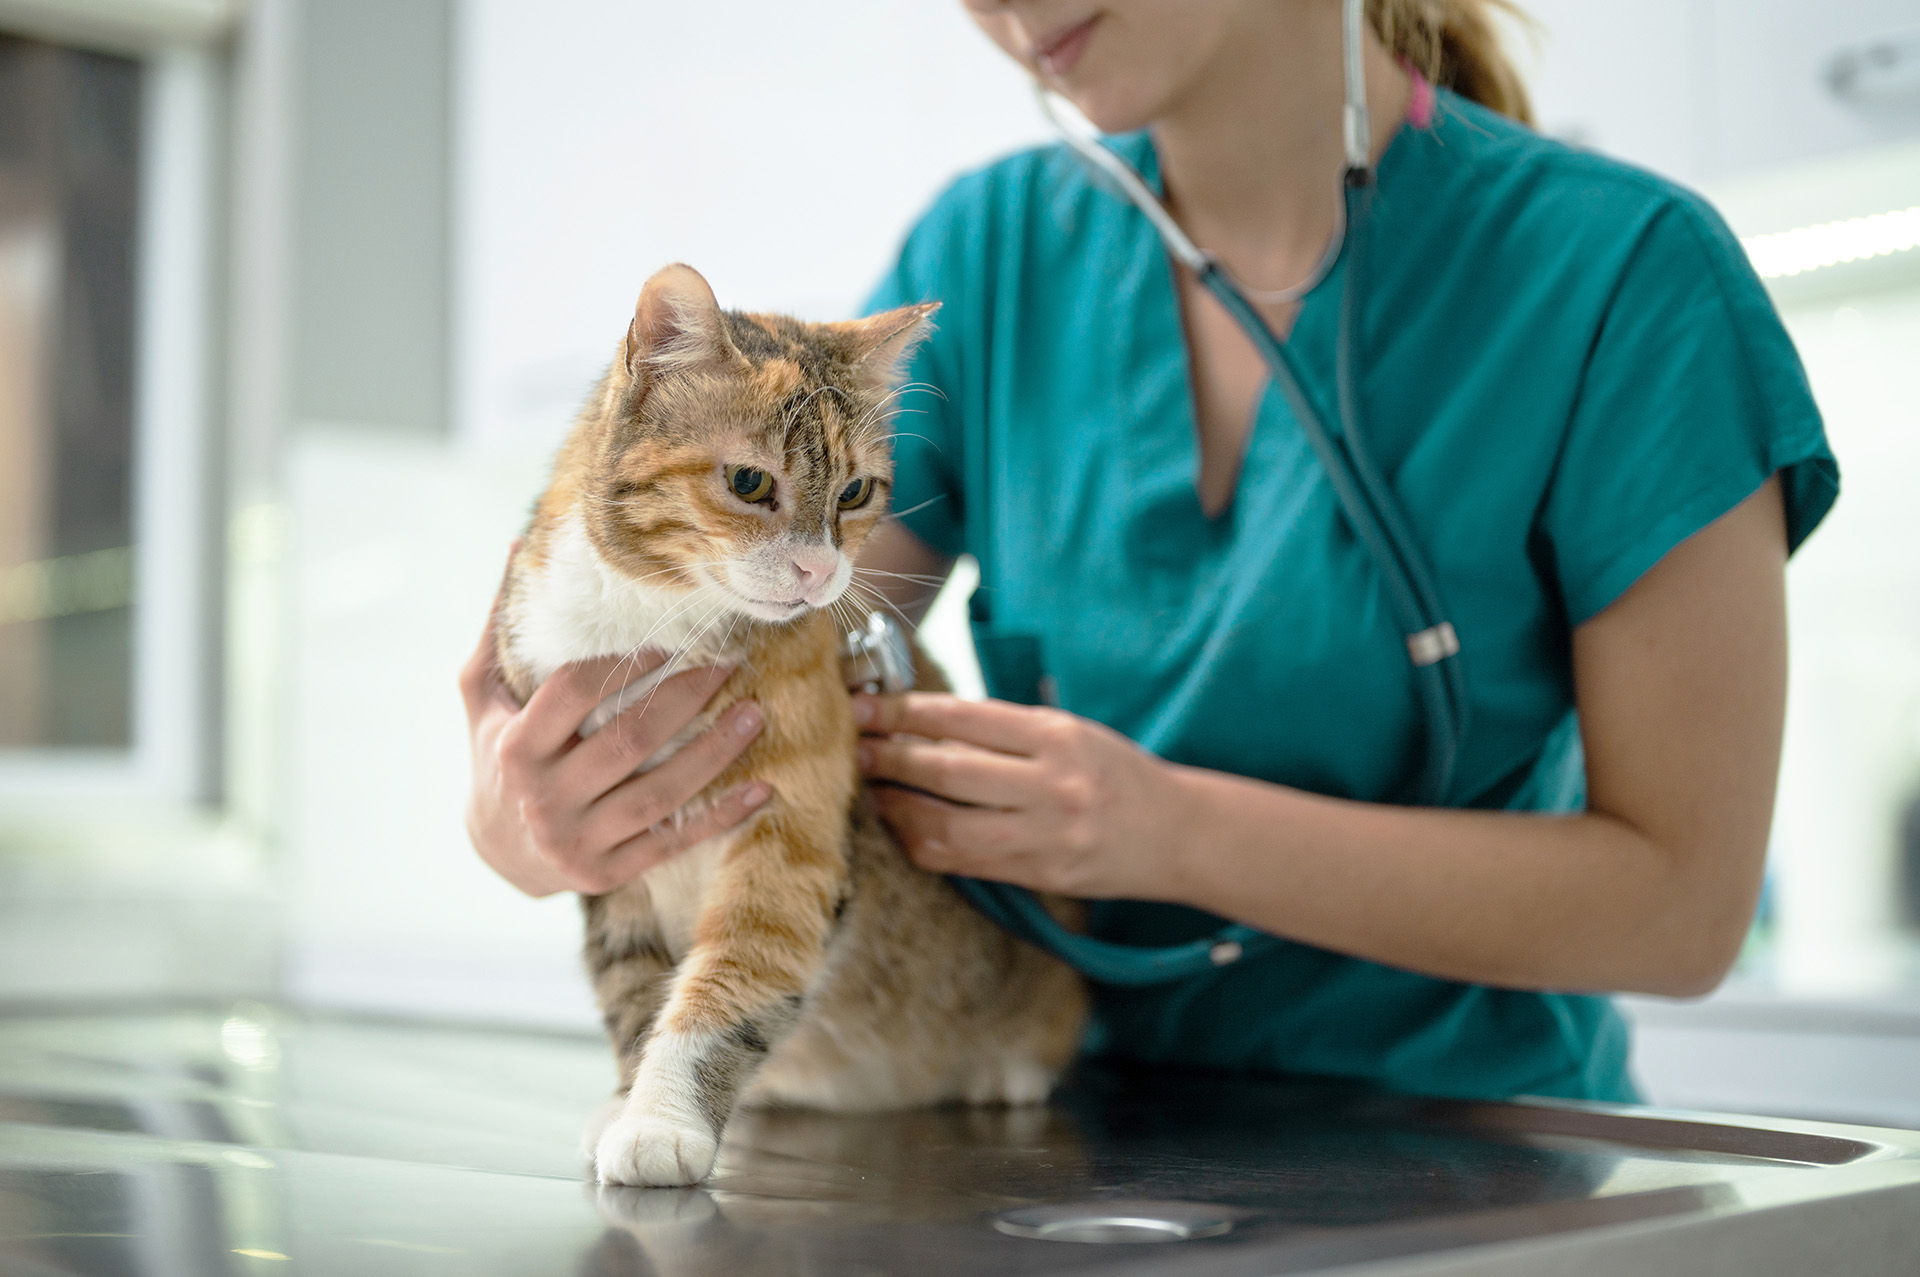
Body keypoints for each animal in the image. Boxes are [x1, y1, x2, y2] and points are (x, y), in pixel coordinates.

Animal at [495, 261, 1090, 1182]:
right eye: (749, 483)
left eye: (854, 491)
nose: (818, 569)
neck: (653, 631)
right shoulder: (604, 849)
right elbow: (632, 987)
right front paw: (630, 1100)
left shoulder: (787, 842)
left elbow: (728, 980)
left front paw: (661, 1120)